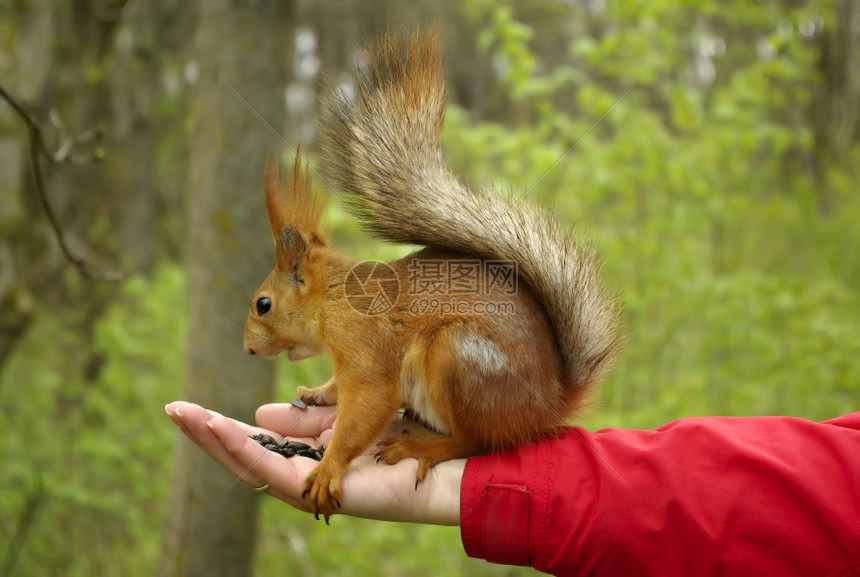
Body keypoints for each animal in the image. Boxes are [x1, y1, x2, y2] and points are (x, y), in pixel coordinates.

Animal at [245, 27, 620, 520]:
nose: (248, 349)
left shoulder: (362, 342)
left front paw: (327, 469)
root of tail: (549, 407)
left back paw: (421, 448)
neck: (332, 297)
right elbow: (340, 389)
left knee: (477, 442)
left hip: (456, 357)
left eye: (263, 304)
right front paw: (317, 393)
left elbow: (370, 402)